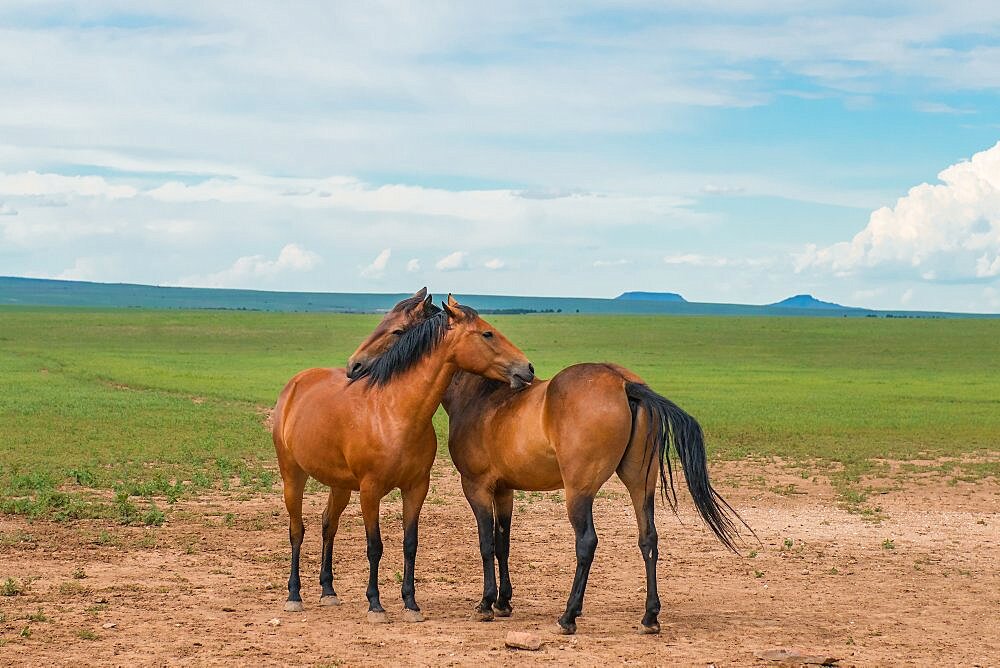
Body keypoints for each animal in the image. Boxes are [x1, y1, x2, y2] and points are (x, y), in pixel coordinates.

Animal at [270, 294, 536, 624]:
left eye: (396, 330)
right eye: (487, 334)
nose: (526, 368)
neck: (395, 412)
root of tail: (295, 384)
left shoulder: (415, 488)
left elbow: (410, 545)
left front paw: (411, 603)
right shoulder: (370, 492)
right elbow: (374, 547)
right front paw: (375, 605)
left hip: (340, 486)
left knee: (328, 524)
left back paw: (328, 591)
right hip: (293, 476)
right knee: (297, 531)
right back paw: (294, 595)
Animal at [348, 294, 752, 636]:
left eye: (396, 330)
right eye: (488, 333)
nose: (354, 366)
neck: (482, 397)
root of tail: (625, 384)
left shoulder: (476, 486)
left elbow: (485, 542)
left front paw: (486, 604)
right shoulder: (505, 490)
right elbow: (503, 543)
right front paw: (504, 602)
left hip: (579, 491)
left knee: (587, 543)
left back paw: (568, 616)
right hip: (641, 483)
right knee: (648, 539)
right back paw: (650, 617)